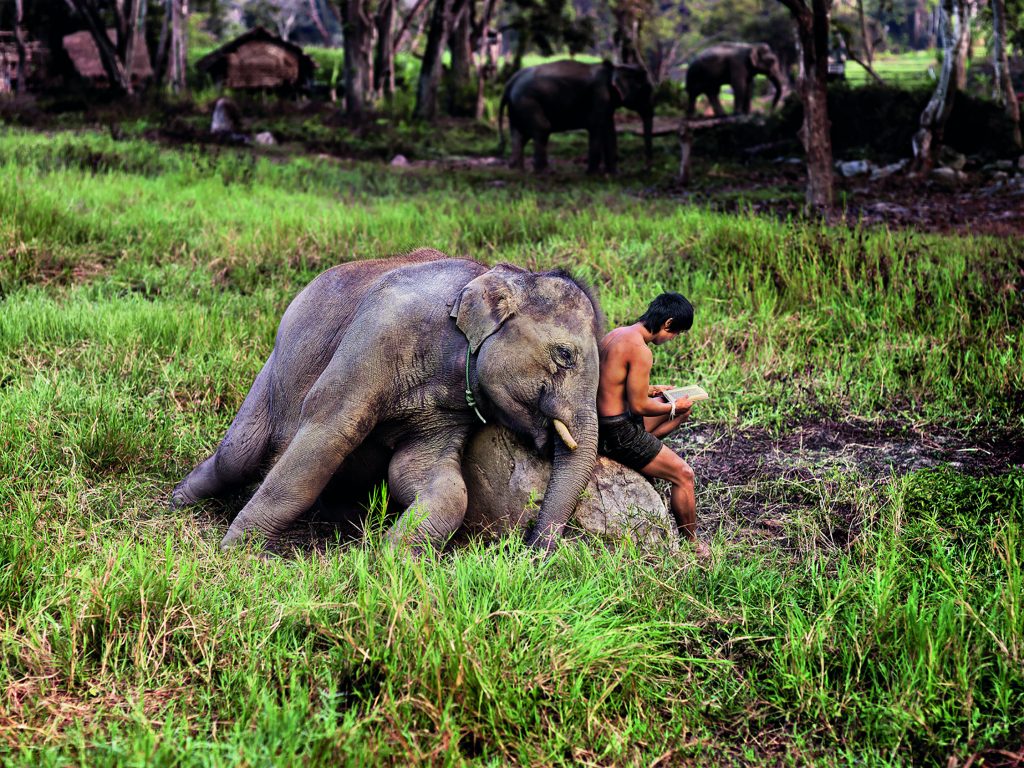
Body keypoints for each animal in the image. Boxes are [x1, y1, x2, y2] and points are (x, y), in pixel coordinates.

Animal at [172, 249, 602, 557]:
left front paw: (392, 558)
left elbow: (429, 477)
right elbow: (328, 433)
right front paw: (236, 552)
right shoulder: (380, 331)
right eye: (565, 355)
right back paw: (180, 499)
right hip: (274, 368)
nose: (532, 551)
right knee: (239, 454)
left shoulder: (449, 409)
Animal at [497, 59, 655, 174]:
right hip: (527, 102)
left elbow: (609, 130)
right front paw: (592, 175)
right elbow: (596, 127)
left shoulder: (607, 103)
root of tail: (510, 83)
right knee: (542, 129)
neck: (615, 67)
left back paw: (517, 171)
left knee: (520, 135)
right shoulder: (599, 96)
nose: (645, 169)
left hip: (517, 106)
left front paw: (613, 174)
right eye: (647, 90)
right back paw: (545, 172)